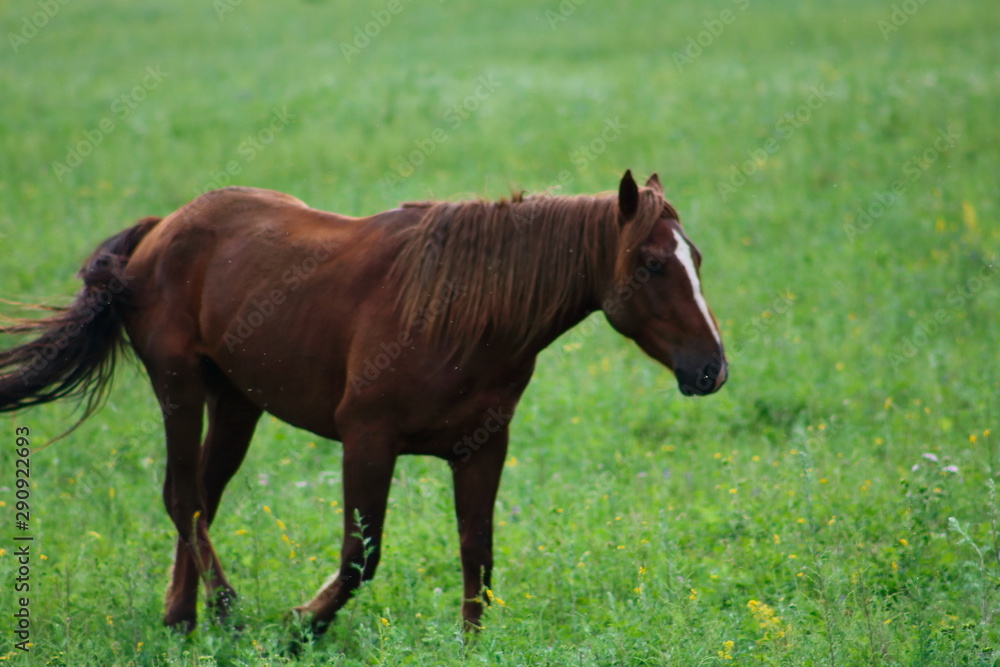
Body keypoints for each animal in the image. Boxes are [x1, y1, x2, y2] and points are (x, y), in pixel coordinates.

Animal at [0, 171, 728, 636]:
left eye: (694, 256)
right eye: (652, 265)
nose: (712, 369)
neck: (462, 312)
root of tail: (161, 229)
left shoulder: (482, 449)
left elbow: (478, 551)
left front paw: (471, 642)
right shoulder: (368, 440)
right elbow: (360, 554)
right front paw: (301, 625)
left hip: (236, 404)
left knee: (199, 496)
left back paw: (182, 618)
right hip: (178, 387)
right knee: (184, 497)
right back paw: (226, 610)